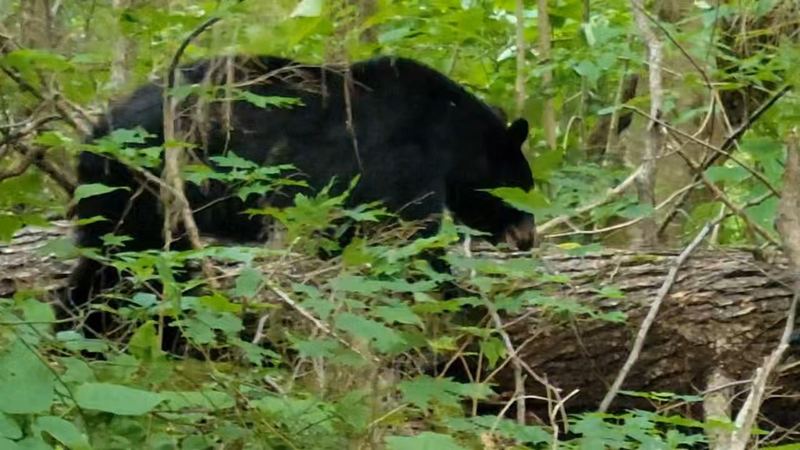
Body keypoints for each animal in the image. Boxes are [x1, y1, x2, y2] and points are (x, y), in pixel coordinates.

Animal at [65, 55, 536, 334]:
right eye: (526, 190)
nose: (529, 239)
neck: (450, 133)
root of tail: (95, 135)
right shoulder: (402, 159)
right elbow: (411, 234)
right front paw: (457, 292)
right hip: (146, 189)